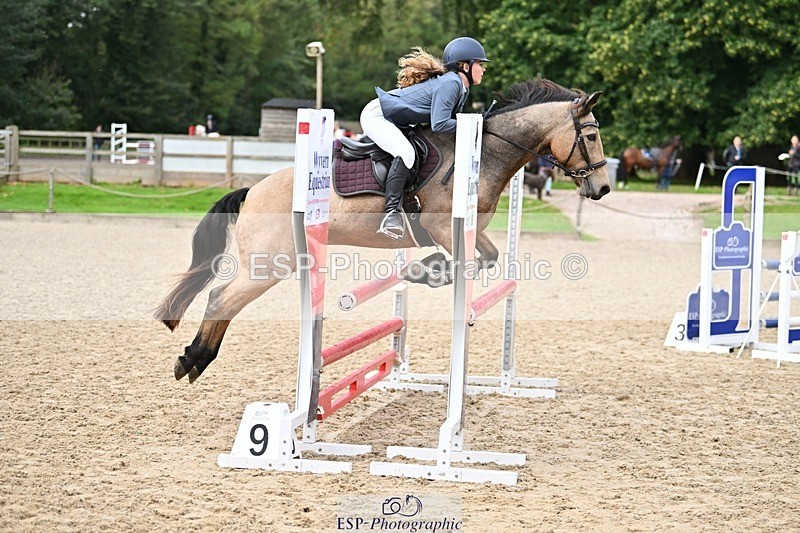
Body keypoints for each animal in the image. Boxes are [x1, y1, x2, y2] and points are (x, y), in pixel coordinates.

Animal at [155, 78, 611, 383]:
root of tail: (252, 190)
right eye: (590, 135)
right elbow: (467, 262)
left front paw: (424, 271)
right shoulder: (441, 226)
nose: (603, 188)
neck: (486, 152)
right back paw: (192, 359)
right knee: (221, 297)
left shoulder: (470, 232)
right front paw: (428, 272)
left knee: (222, 298)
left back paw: (194, 360)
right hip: (269, 265)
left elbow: (490, 257)